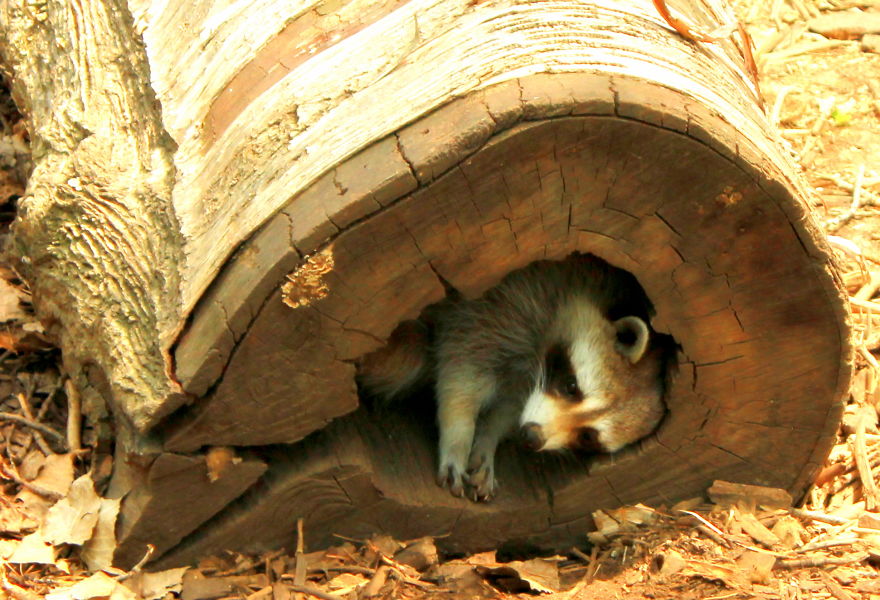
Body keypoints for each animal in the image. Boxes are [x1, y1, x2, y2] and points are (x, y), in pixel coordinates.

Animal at [358, 254, 672, 501]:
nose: (532, 438)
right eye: (571, 386)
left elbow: (509, 409)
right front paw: (458, 434)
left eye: (587, 436)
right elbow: (461, 371)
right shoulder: (504, 305)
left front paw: (488, 437)